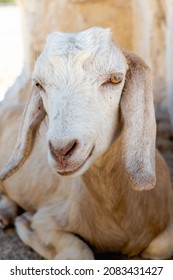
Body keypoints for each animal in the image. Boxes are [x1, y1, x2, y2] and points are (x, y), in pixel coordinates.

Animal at [0, 27, 173, 260]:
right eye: (39, 84)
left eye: (115, 79)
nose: (61, 150)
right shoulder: (48, 217)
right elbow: (80, 252)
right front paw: (27, 226)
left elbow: (162, 245)